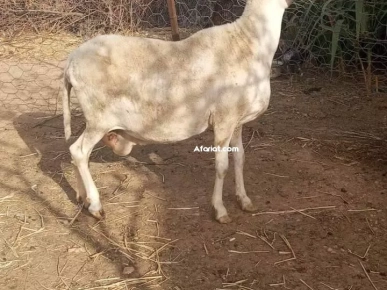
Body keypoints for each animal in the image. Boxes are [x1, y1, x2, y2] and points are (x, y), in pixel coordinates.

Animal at [63, 0, 294, 224]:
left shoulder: (237, 121)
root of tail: (71, 62)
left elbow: (240, 159)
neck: (248, 41)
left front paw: (244, 200)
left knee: (76, 153)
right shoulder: (224, 119)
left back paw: (83, 198)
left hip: (96, 120)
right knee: (79, 152)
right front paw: (219, 210)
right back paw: (95, 206)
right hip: (98, 119)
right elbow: (222, 166)